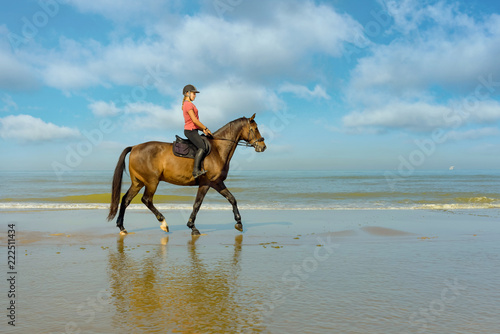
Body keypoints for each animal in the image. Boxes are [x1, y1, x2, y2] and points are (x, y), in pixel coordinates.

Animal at [108, 113, 268, 236]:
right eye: (255, 129)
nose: (263, 146)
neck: (217, 149)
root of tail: (134, 147)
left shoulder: (217, 182)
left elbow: (232, 199)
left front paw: (239, 222)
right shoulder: (206, 183)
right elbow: (197, 204)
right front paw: (193, 227)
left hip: (138, 182)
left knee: (126, 200)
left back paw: (122, 227)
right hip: (151, 181)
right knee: (146, 200)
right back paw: (163, 223)